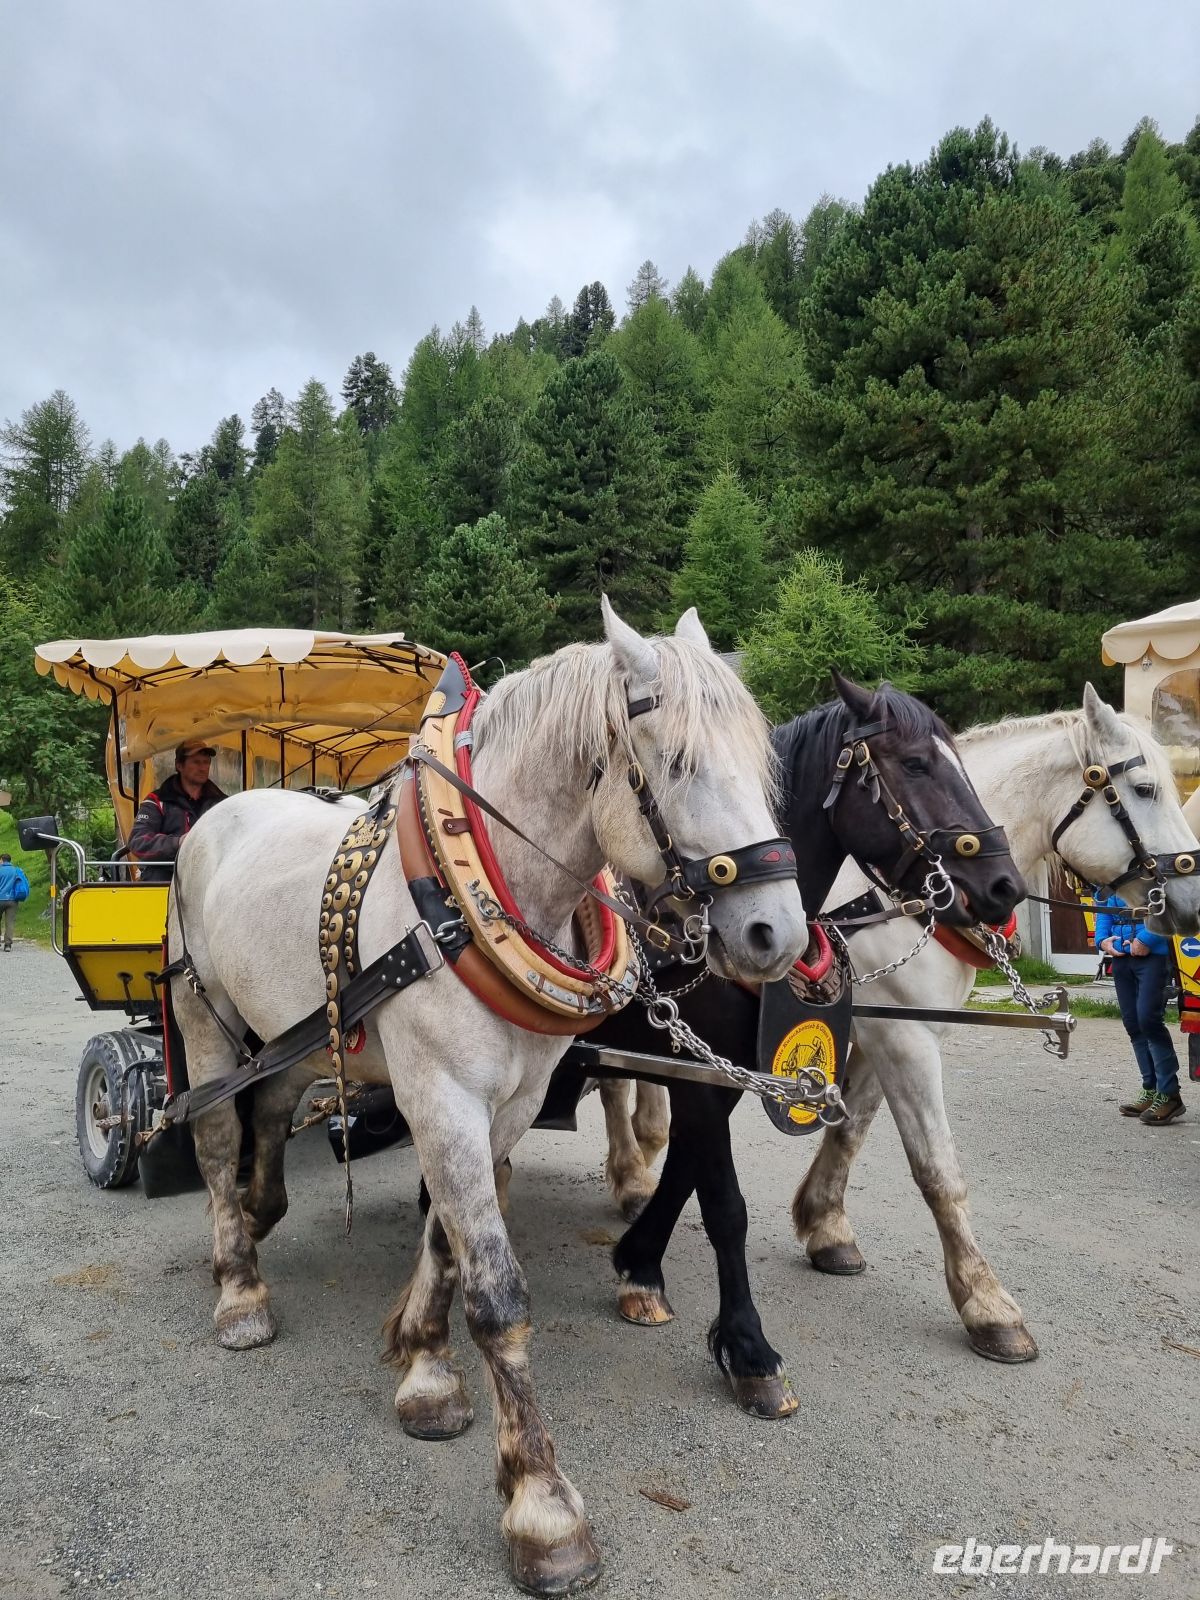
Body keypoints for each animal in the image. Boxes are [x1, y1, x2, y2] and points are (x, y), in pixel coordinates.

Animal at [167, 601, 808, 1595]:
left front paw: (425, 1366)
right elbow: (498, 1291)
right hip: (202, 1018)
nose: (780, 933)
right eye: (677, 762)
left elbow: (450, 1238)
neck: (472, 890)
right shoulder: (442, 1096)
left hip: (296, 1035)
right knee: (208, 1135)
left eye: (763, 758)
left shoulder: (499, 1104)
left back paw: (262, 1208)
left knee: (267, 1112)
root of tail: (221, 809)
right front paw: (543, 1508)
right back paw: (239, 1287)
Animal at [587, 675, 1026, 1417]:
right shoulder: (698, 1069)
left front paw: (640, 1265)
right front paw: (748, 1349)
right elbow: (723, 1204)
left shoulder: (723, 1071)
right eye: (915, 765)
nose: (1005, 886)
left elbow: (687, 1173)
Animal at [793, 683, 1200, 1361]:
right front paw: (986, 1304)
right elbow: (938, 1169)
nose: (1194, 901)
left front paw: (825, 1226)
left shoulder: (889, 1026)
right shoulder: (901, 1035)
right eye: (1145, 789)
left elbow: (850, 1129)